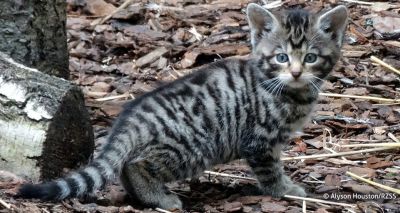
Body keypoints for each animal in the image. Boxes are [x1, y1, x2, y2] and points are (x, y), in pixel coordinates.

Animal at [16, 3, 346, 210]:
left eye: (311, 58)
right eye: (281, 57)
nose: (296, 72)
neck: (285, 89)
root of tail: (133, 116)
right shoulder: (260, 141)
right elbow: (270, 172)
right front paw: (285, 191)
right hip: (191, 147)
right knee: (135, 165)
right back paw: (160, 199)